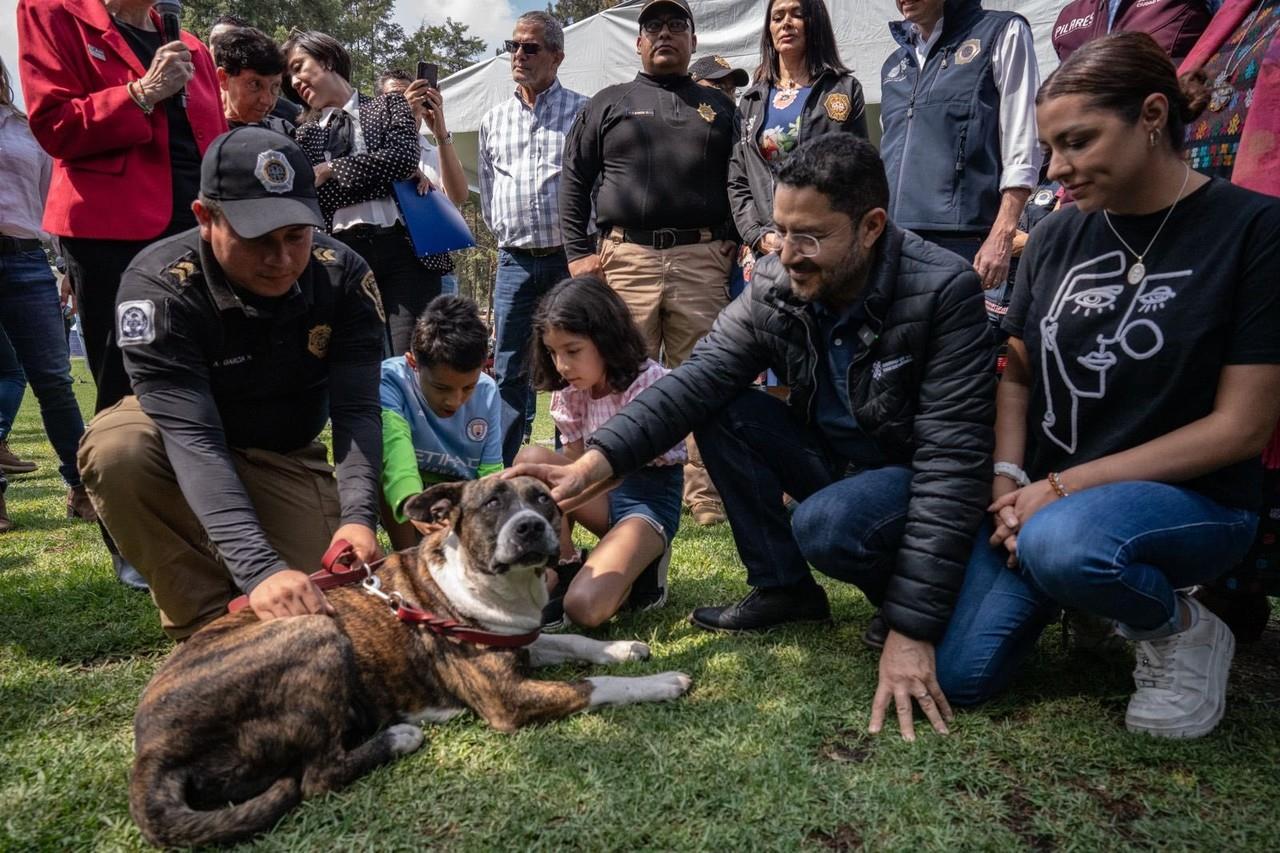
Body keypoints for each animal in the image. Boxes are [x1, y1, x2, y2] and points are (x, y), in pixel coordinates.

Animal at [128, 473, 691, 845]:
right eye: (491, 503)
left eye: (545, 500)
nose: (530, 527)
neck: (492, 583)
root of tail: (150, 752)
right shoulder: (506, 697)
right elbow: (594, 686)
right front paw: (660, 682)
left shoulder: (520, 642)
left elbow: (574, 642)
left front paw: (622, 649)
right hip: (314, 631)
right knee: (316, 777)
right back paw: (399, 736)